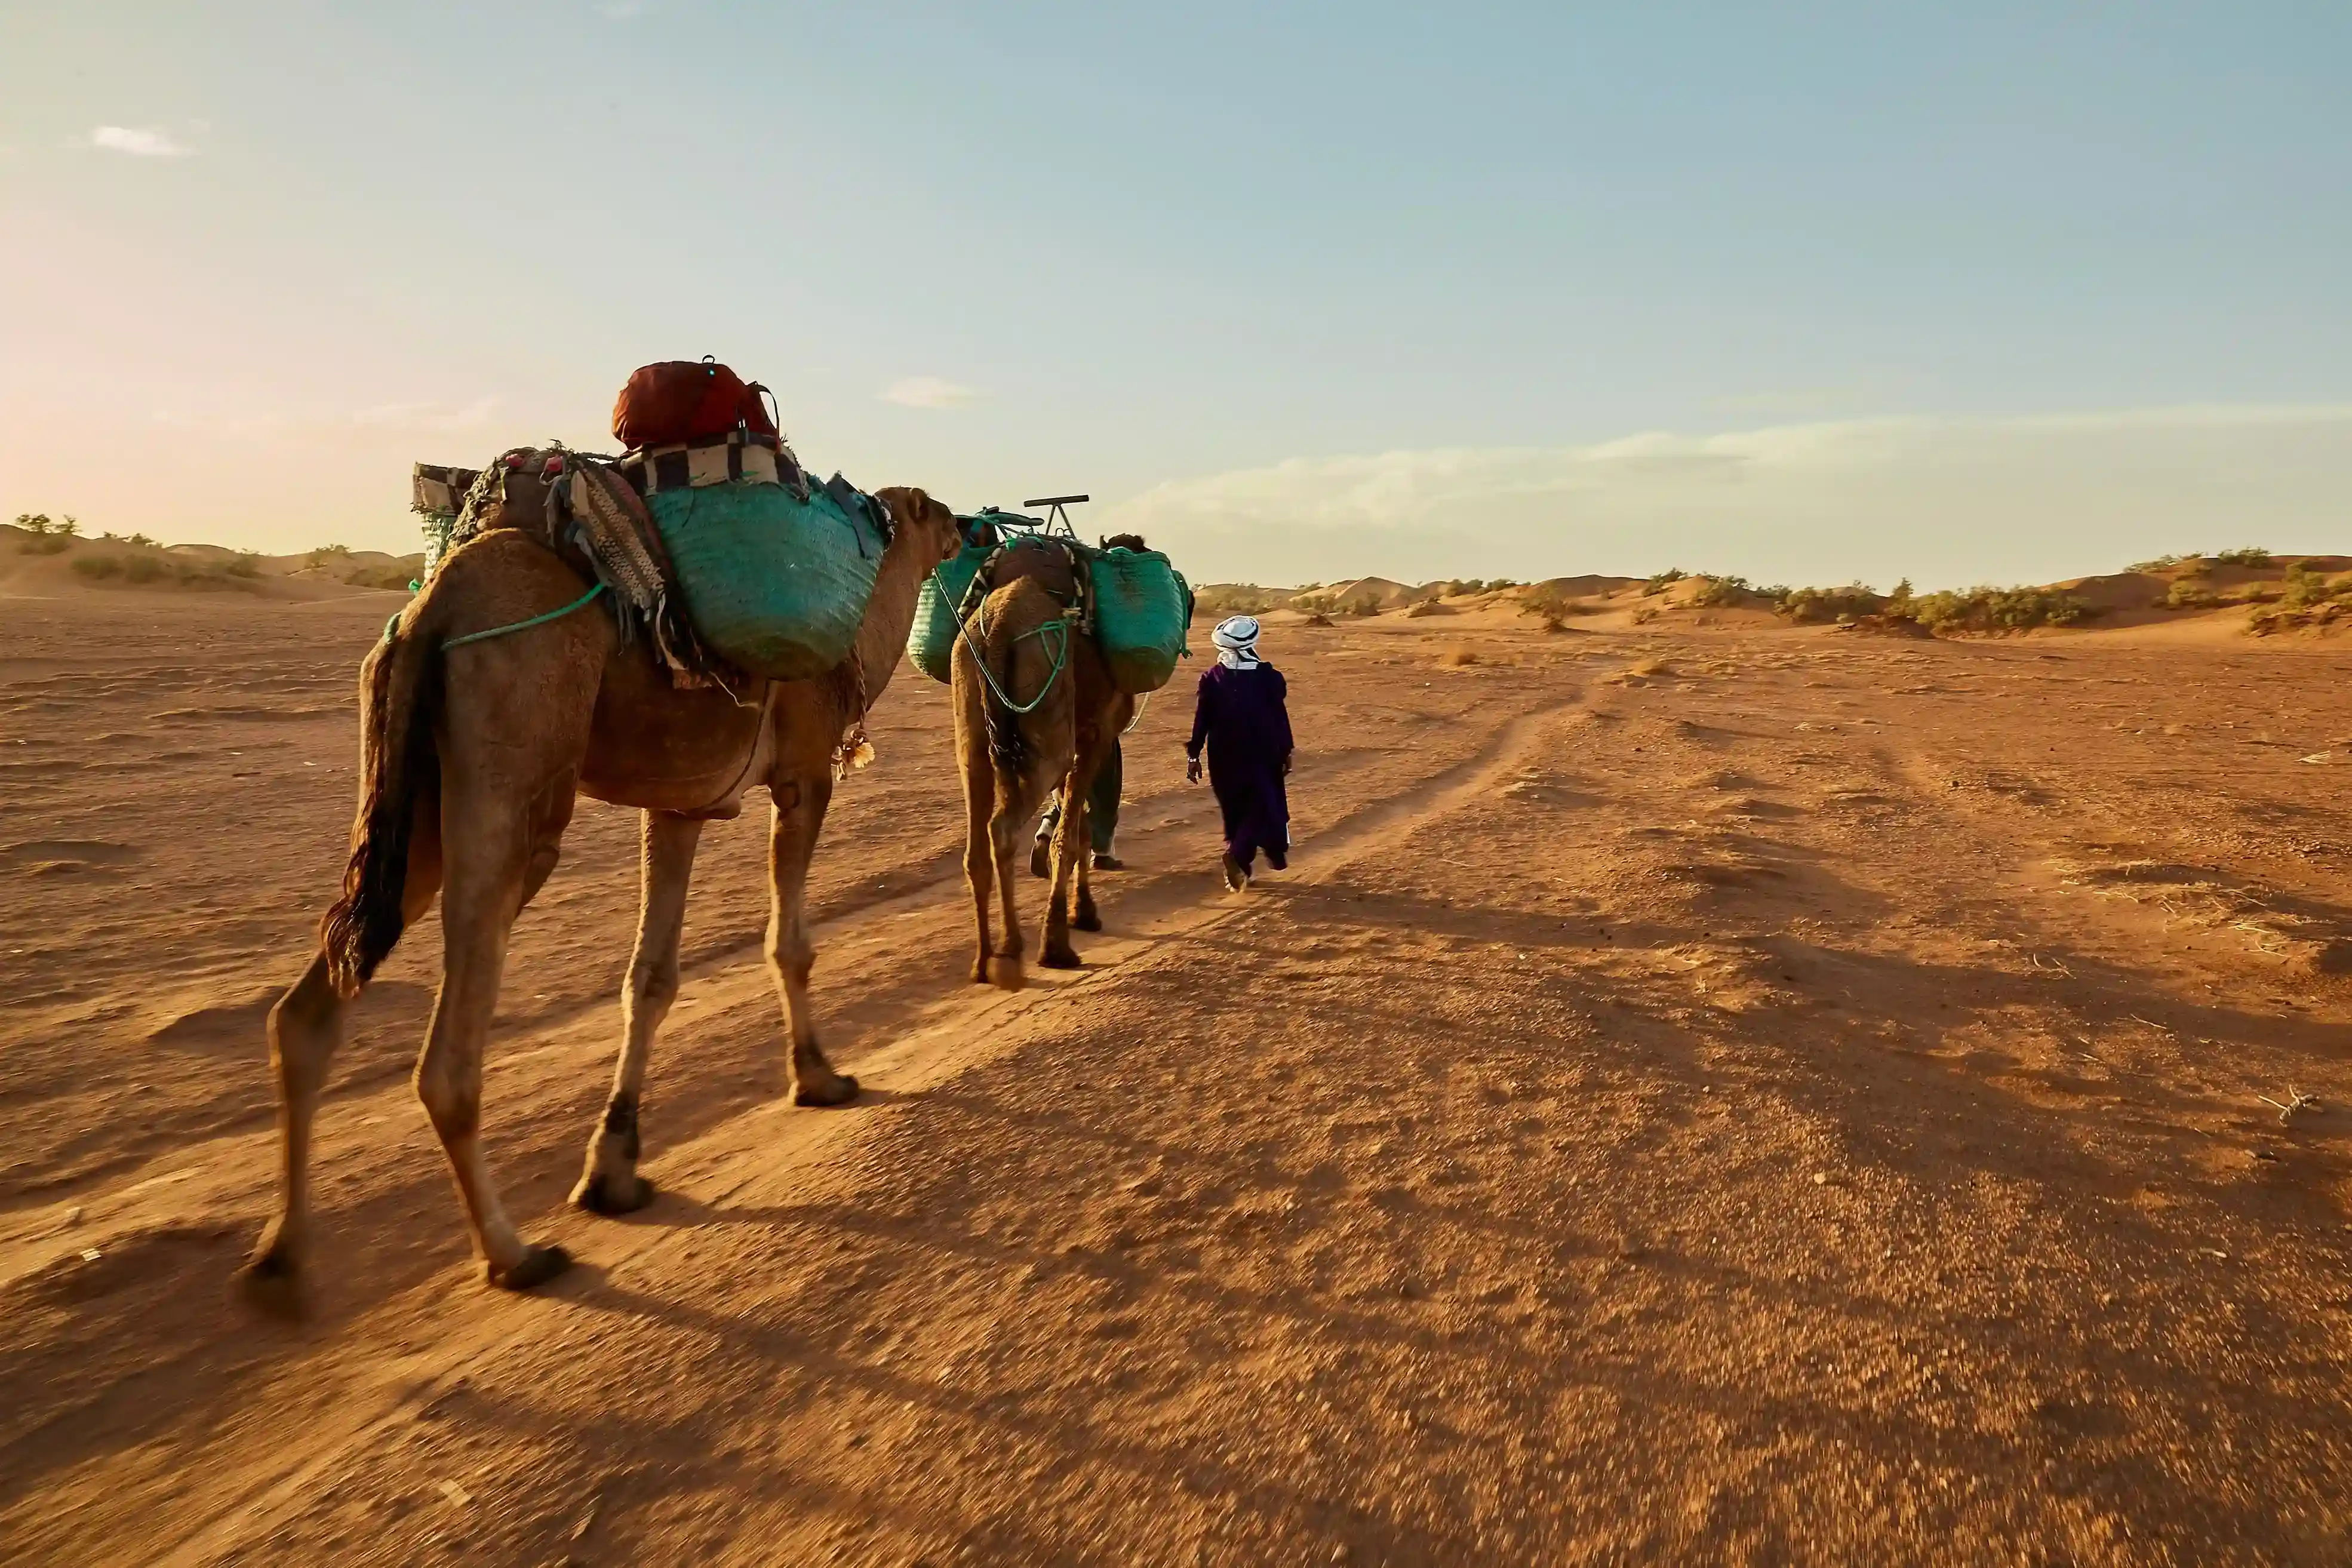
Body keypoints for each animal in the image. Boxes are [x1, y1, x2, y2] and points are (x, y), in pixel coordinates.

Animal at [237, 465, 960, 1310]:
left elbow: (651, 978)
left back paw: (281, 1258)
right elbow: (789, 944)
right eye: (934, 512)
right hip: (515, 763)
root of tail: (431, 608)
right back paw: (514, 1254)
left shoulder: (682, 802)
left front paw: (613, 1167)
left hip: (412, 805)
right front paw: (818, 1076)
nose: (967, 529)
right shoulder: (806, 776)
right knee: (448, 1060)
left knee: (305, 1012)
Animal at [954, 543, 1136, 989]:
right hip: (1046, 711)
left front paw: (1082, 912)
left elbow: (1078, 826)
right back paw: (1011, 952)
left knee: (976, 844)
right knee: (1002, 827)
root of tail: (999, 625)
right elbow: (1070, 836)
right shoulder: (1094, 735)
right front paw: (1060, 942)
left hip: (970, 714)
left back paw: (983, 961)